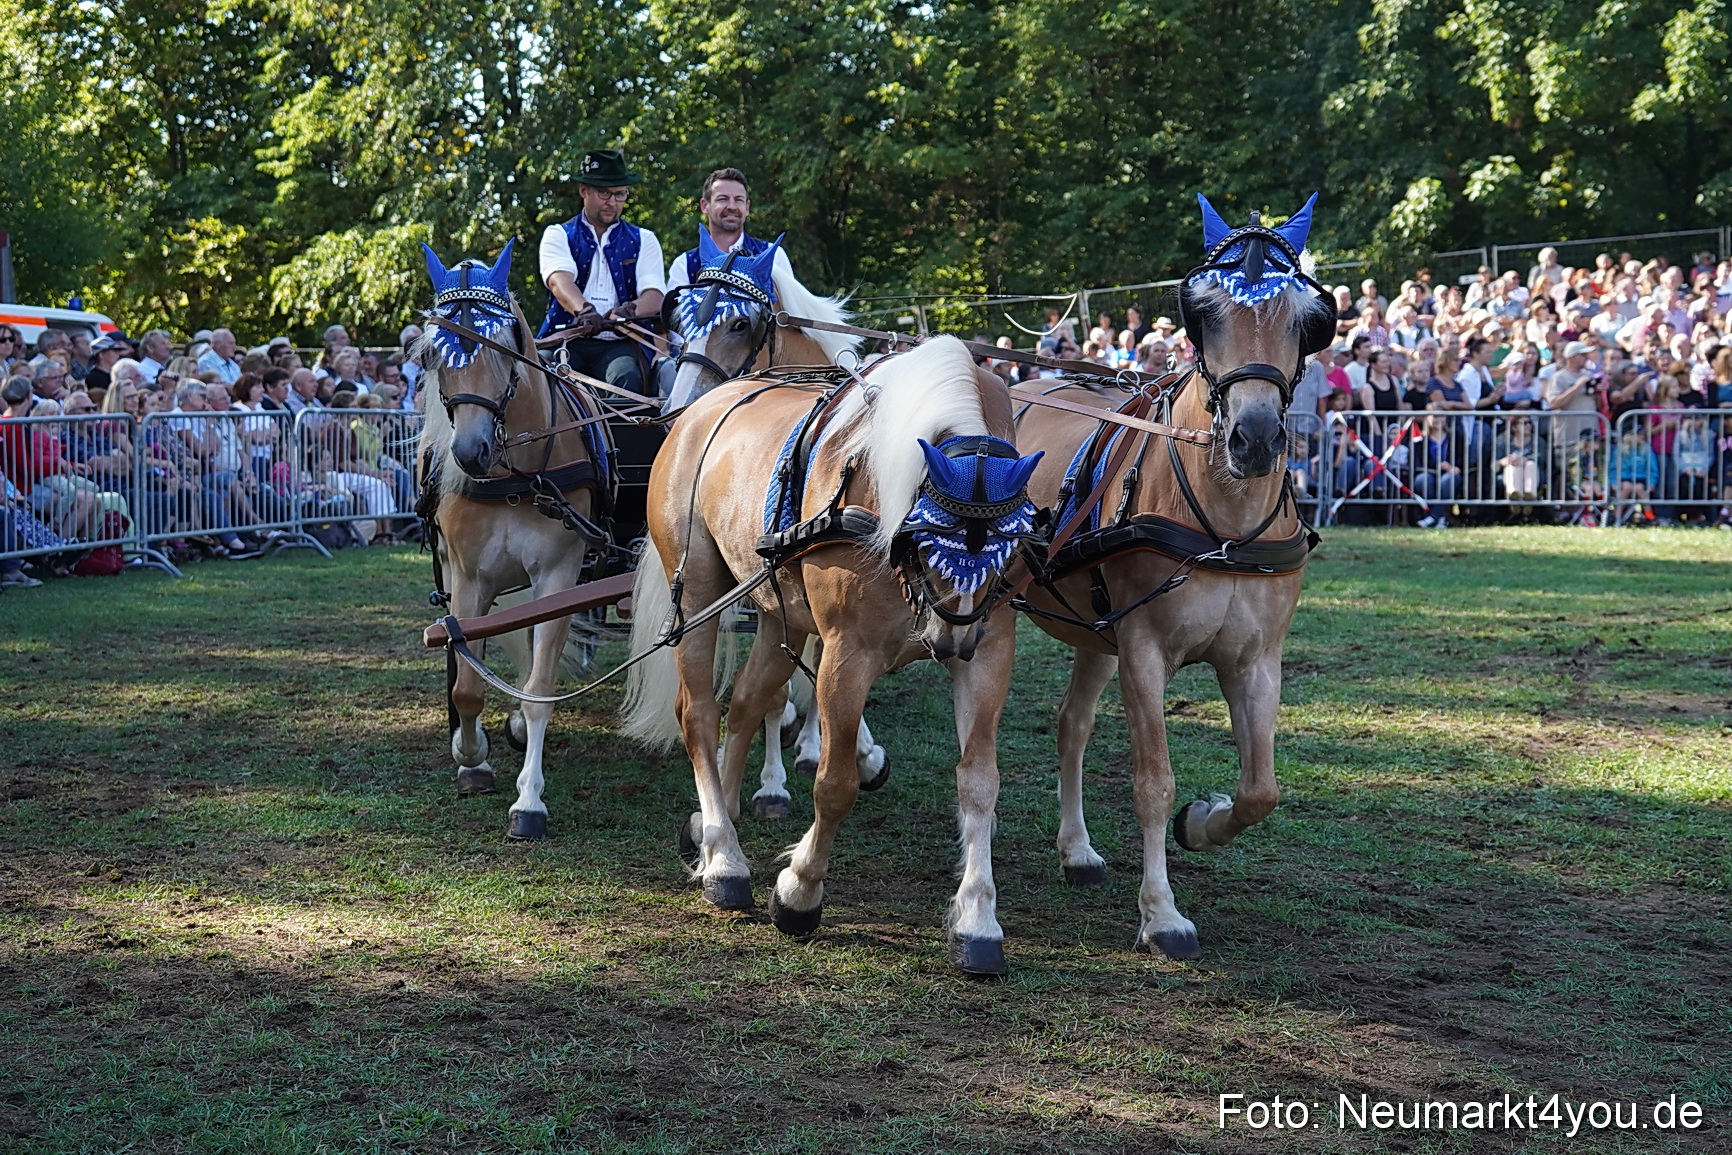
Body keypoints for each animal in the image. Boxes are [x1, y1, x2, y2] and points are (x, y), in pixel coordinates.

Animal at [415, 240, 613, 841]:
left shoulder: (559, 578)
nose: (470, 451)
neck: (518, 475)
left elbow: (540, 687)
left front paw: (529, 801)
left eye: (504, 345)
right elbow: (466, 686)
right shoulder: (469, 579)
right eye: (435, 355)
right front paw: (470, 757)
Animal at [622, 336, 1043, 974]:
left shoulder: (990, 649)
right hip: (695, 590)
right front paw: (799, 892)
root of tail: (700, 408)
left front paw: (977, 919)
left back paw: (716, 820)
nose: (950, 643)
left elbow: (979, 782)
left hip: (779, 613)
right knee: (697, 713)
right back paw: (724, 857)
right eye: (930, 540)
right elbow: (835, 784)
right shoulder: (847, 653)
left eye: (1005, 546)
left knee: (746, 703)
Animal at [1012, 195, 1332, 959]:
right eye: (1203, 311)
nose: (1255, 439)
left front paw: (1203, 820)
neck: (1225, 523)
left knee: (1072, 722)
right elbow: (1153, 781)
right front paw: (1161, 913)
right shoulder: (1143, 652)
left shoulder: (1256, 660)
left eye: (1308, 317)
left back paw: (1076, 850)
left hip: (1092, 631)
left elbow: (1261, 789)